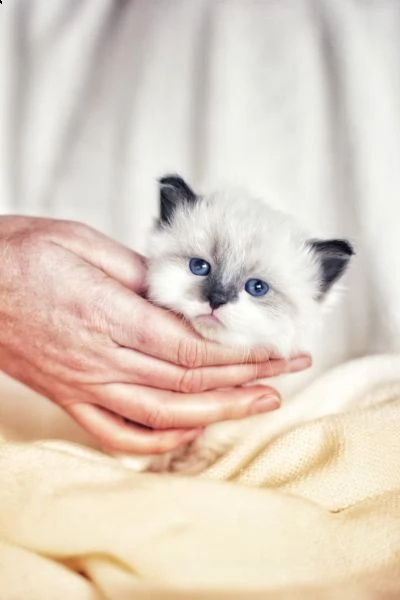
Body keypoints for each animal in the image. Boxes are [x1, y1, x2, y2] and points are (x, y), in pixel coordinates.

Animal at [120, 173, 352, 474]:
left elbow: (209, 445)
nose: (216, 300)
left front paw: (188, 469)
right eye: (199, 267)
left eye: (257, 288)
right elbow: (139, 448)